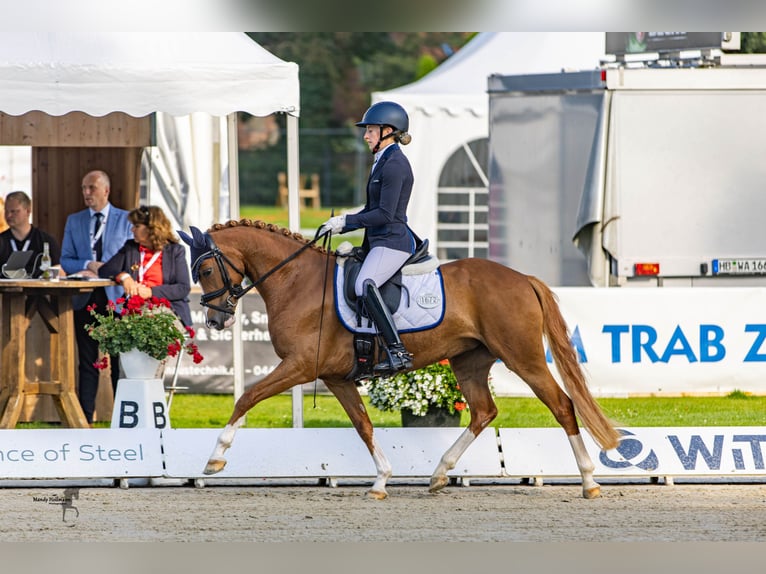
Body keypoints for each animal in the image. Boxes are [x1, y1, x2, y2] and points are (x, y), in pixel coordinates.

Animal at [182, 219, 624, 500]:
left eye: (205, 269)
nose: (215, 320)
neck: (297, 281)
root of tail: (523, 279)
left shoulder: (300, 366)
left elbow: (247, 396)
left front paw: (215, 459)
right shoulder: (335, 377)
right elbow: (363, 425)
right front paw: (381, 481)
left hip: (523, 357)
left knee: (563, 405)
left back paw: (589, 481)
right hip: (469, 361)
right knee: (484, 411)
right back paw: (440, 474)